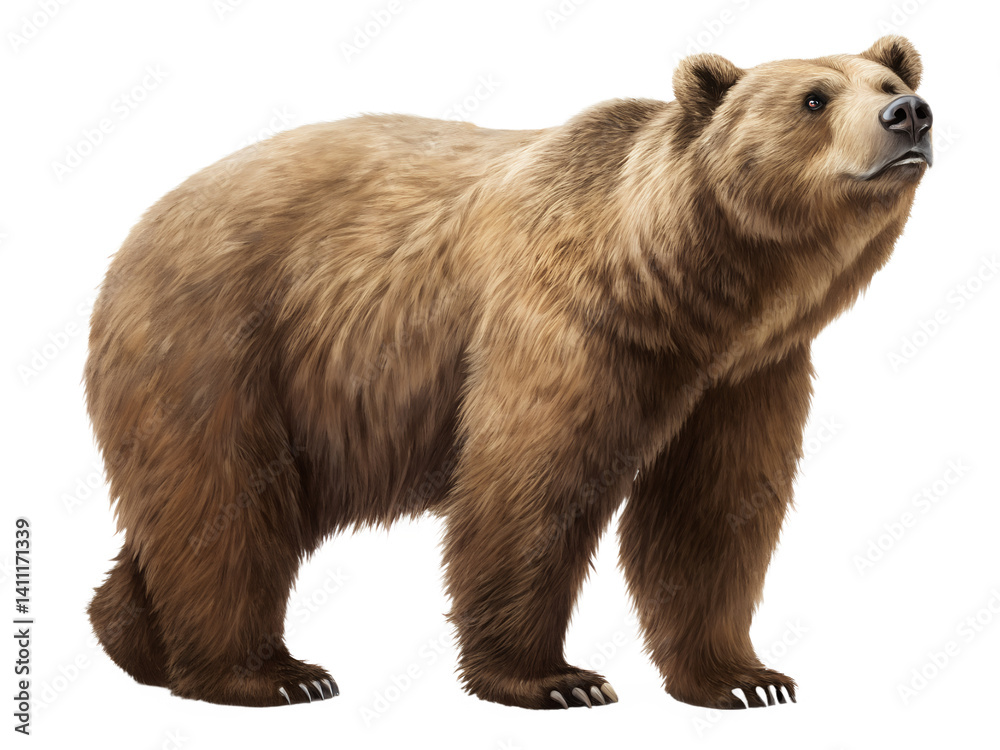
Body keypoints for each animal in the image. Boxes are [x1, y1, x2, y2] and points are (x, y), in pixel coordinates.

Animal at [85, 35, 932, 710]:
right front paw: (557, 679)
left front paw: (744, 678)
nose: (909, 115)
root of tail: (137, 232)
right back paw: (270, 674)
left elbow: (714, 510)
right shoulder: (569, 324)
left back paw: (134, 639)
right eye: (814, 98)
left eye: (888, 80)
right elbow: (530, 483)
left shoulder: (745, 374)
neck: (684, 288)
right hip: (219, 346)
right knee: (223, 503)